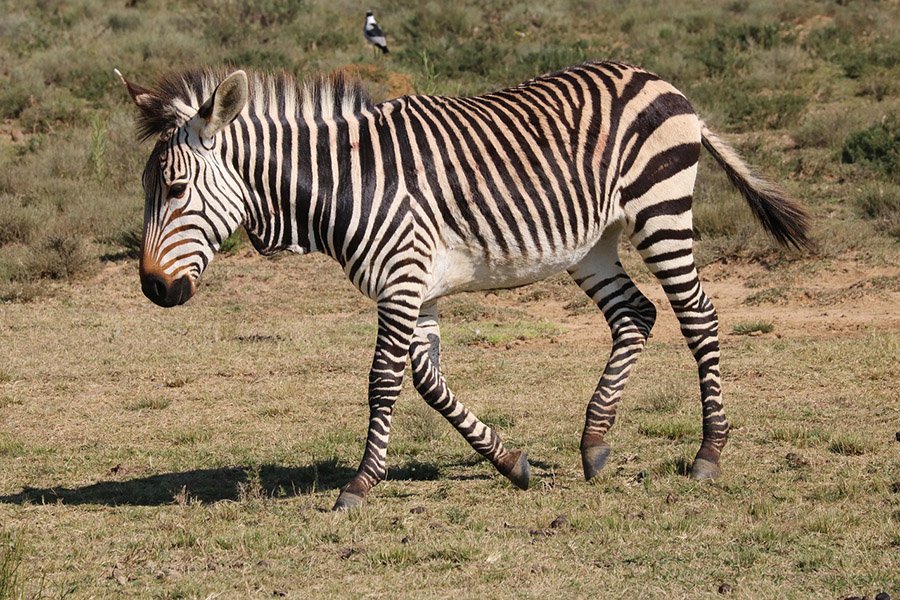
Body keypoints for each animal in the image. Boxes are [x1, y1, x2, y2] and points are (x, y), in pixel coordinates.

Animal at [116, 61, 812, 510]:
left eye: (175, 189)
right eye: (149, 190)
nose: (153, 289)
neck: (345, 182)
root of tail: (661, 80)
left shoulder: (401, 277)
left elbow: (383, 381)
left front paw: (359, 485)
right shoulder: (416, 287)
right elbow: (426, 381)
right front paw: (511, 463)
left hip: (660, 207)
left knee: (698, 315)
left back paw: (708, 453)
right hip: (592, 242)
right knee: (635, 315)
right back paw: (594, 444)